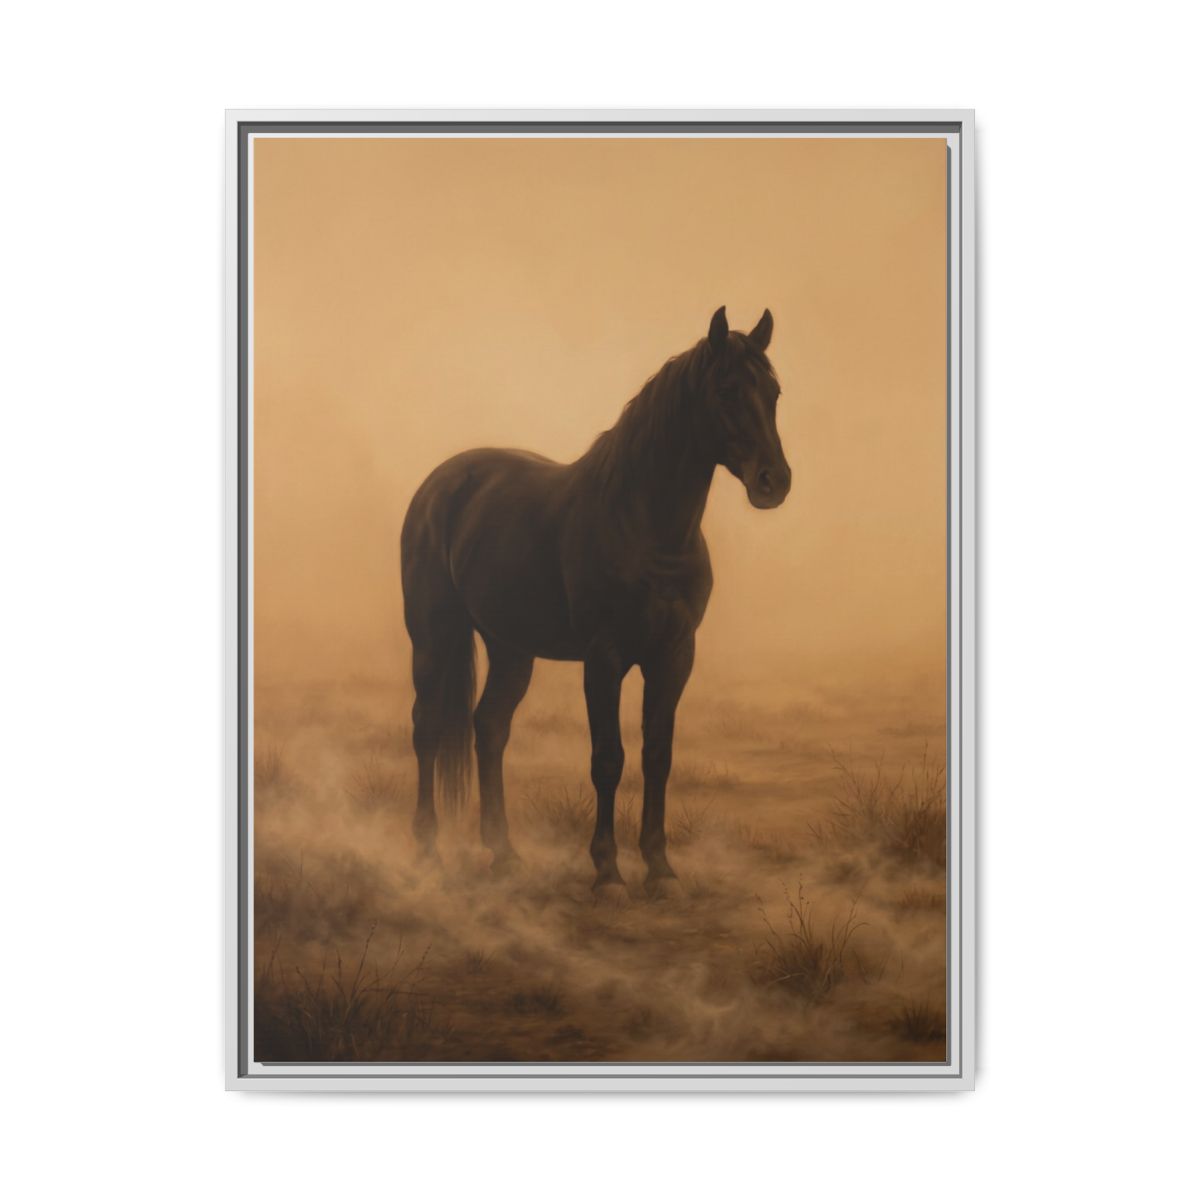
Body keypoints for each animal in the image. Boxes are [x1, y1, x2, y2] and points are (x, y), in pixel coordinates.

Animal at [400, 306, 791, 896]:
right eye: (726, 390)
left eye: (773, 392)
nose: (774, 481)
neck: (645, 527)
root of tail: (440, 484)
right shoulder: (604, 659)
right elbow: (608, 758)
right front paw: (607, 871)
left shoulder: (674, 656)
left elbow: (658, 755)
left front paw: (660, 868)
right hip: (433, 635)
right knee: (427, 728)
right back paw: (426, 851)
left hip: (511, 648)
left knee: (489, 728)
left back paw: (504, 853)